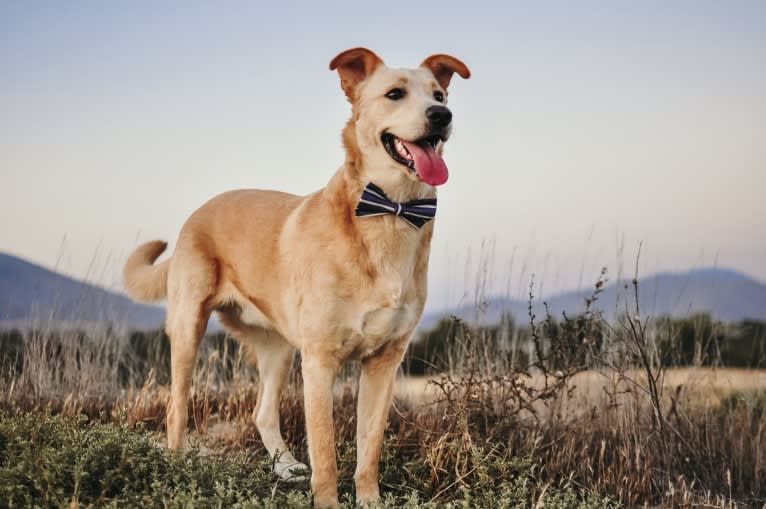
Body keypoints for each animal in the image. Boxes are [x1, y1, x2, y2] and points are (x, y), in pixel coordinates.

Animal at [123, 46, 472, 504]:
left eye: (439, 95)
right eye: (395, 94)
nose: (441, 116)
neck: (389, 212)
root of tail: (198, 212)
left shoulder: (384, 362)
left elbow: (369, 450)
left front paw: (369, 500)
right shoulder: (320, 362)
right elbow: (325, 452)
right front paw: (327, 502)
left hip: (279, 349)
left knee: (262, 412)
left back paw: (285, 466)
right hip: (188, 330)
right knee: (176, 407)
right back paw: (179, 464)